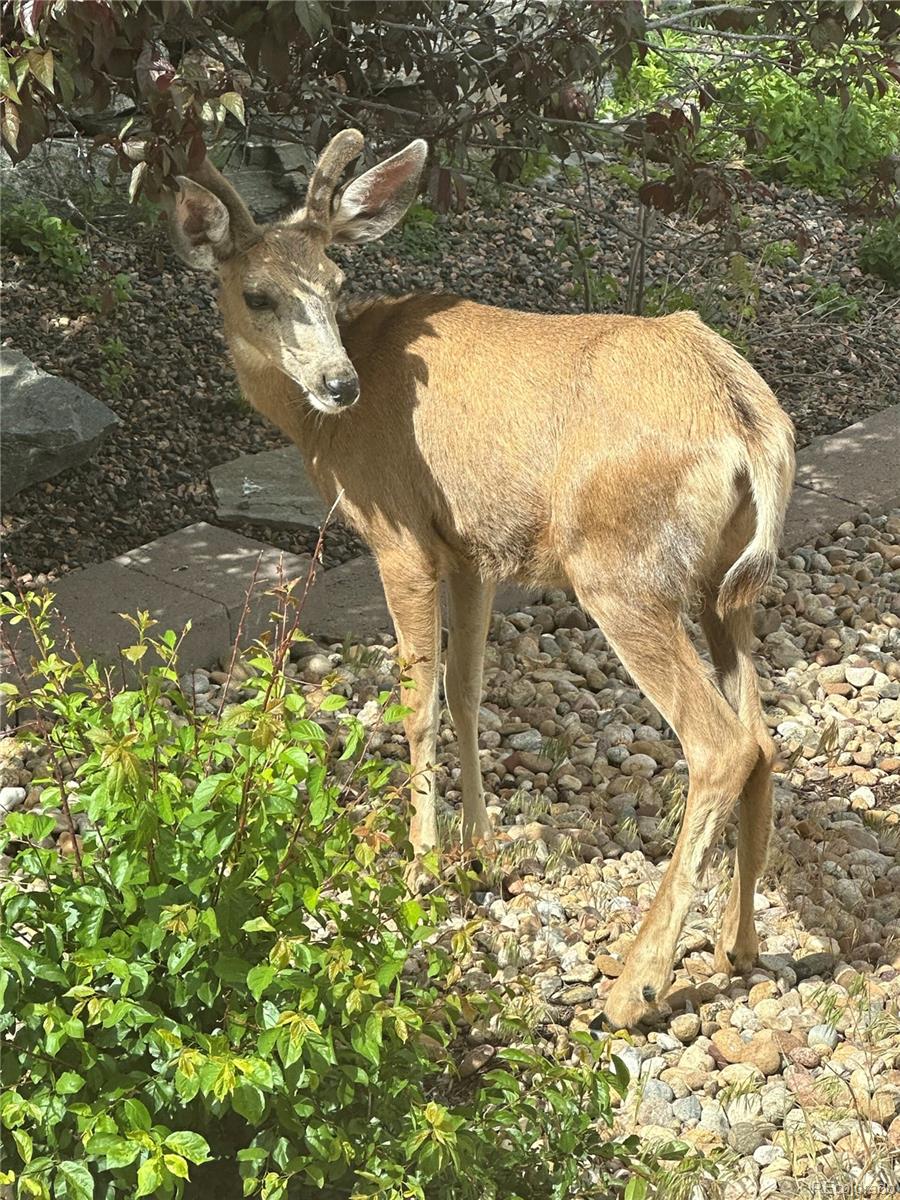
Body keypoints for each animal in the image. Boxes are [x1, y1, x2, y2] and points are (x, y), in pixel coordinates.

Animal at [169, 131, 796, 1032]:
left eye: (334, 281)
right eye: (258, 293)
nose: (338, 384)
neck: (327, 436)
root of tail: (752, 425)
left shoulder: (400, 533)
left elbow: (417, 699)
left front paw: (420, 866)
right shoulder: (472, 548)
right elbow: (467, 689)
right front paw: (482, 850)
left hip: (621, 569)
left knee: (721, 742)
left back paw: (634, 984)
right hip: (725, 587)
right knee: (766, 738)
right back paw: (735, 946)